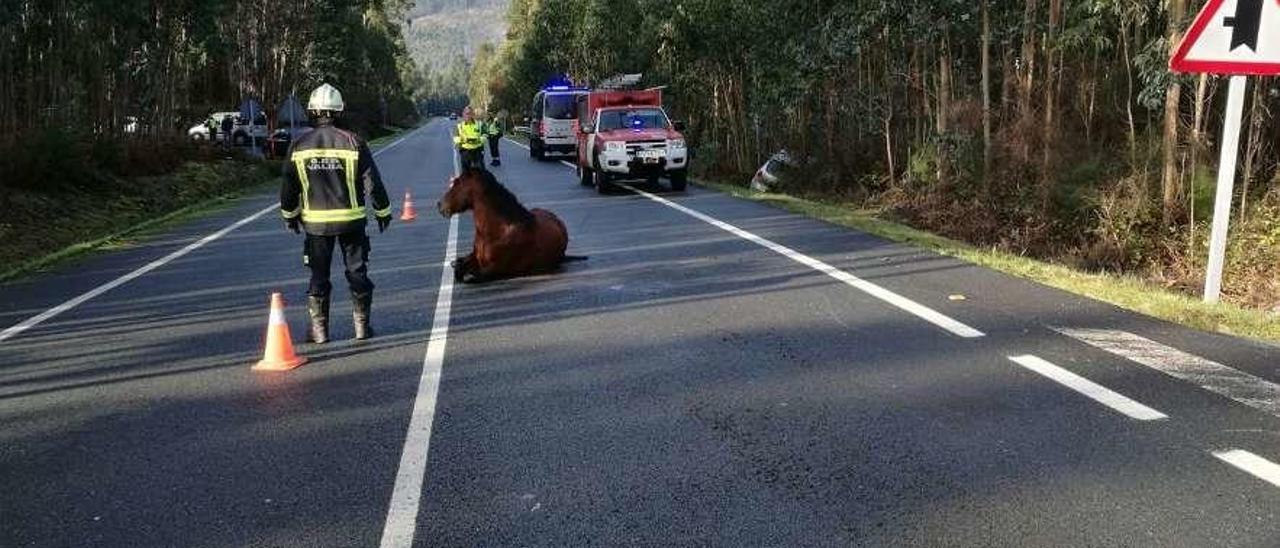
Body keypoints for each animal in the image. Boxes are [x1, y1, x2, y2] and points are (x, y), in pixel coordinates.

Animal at [435, 169, 586, 284]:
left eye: (457, 184)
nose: (440, 205)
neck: (497, 230)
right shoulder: (474, 257)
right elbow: (459, 267)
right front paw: (457, 264)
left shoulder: (494, 269)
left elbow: (473, 276)